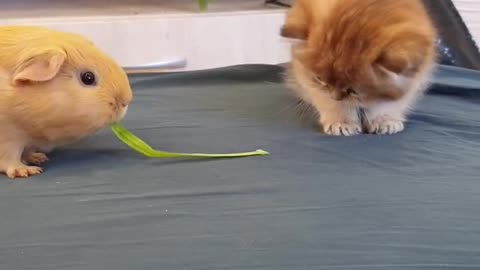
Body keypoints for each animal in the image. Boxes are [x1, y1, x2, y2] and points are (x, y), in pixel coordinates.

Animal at [282, 0, 438, 135]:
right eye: (320, 80)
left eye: (352, 91)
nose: (335, 97)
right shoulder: (311, 81)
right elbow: (328, 100)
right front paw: (341, 122)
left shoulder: (413, 80)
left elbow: (389, 102)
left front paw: (384, 120)